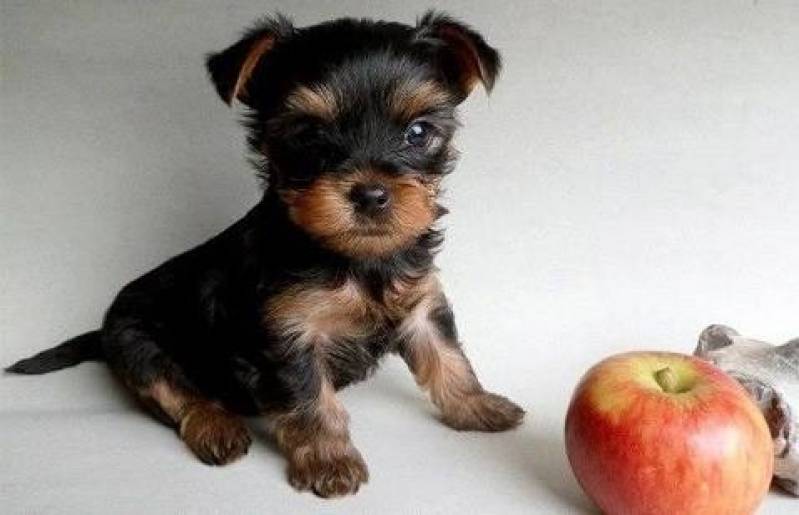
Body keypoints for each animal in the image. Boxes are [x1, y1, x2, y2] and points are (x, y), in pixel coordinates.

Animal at [12, 11, 528, 496]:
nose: (371, 194)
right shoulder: (287, 335)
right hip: (136, 340)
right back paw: (215, 426)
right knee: (172, 391)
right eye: (308, 135)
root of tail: (104, 330)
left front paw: (477, 406)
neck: (356, 259)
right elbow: (310, 400)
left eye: (418, 133)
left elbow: (448, 358)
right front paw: (329, 462)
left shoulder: (421, 305)